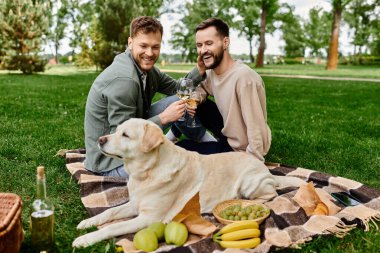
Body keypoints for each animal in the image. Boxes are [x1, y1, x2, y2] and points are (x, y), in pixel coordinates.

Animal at [72, 118, 306, 247]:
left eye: (126, 135)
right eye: (117, 129)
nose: (100, 140)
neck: (147, 172)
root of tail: (265, 167)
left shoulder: (149, 218)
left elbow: (113, 227)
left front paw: (86, 239)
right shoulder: (135, 204)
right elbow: (109, 212)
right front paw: (87, 223)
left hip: (249, 184)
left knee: (271, 195)